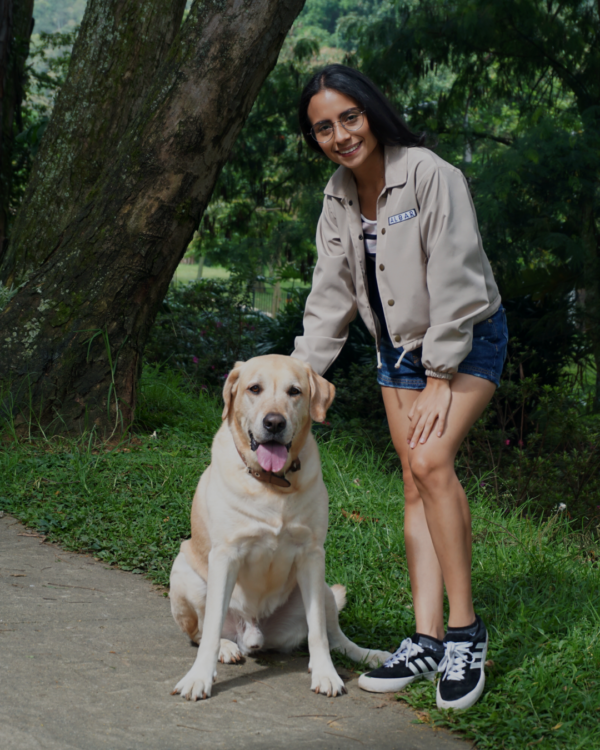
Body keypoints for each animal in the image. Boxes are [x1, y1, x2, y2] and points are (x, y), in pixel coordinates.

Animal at [171, 356, 392, 704]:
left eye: (294, 391)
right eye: (254, 388)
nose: (274, 423)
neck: (272, 485)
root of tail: (252, 632)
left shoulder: (312, 556)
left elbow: (318, 632)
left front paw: (325, 673)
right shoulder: (225, 556)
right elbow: (211, 627)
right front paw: (199, 677)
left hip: (324, 590)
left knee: (335, 636)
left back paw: (369, 655)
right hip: (183, 572)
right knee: (202, 629)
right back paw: (226, 647)